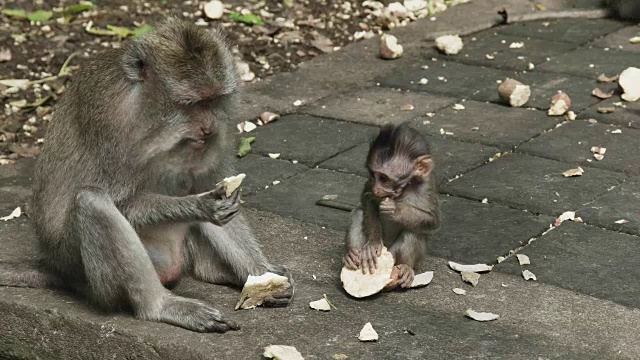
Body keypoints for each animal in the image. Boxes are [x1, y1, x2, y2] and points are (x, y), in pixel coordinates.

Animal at [344, 124, 440, 290]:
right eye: (373, 175)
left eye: (384, 179)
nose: (376, 189)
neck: (405, 190)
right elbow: (367, 200)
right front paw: (374, 243)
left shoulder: (427, 187)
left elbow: (433, 221)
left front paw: (396, 209)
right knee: (359, 213)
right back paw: (352, 255)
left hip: (394, 254)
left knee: (413, 230)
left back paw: (406, 267)